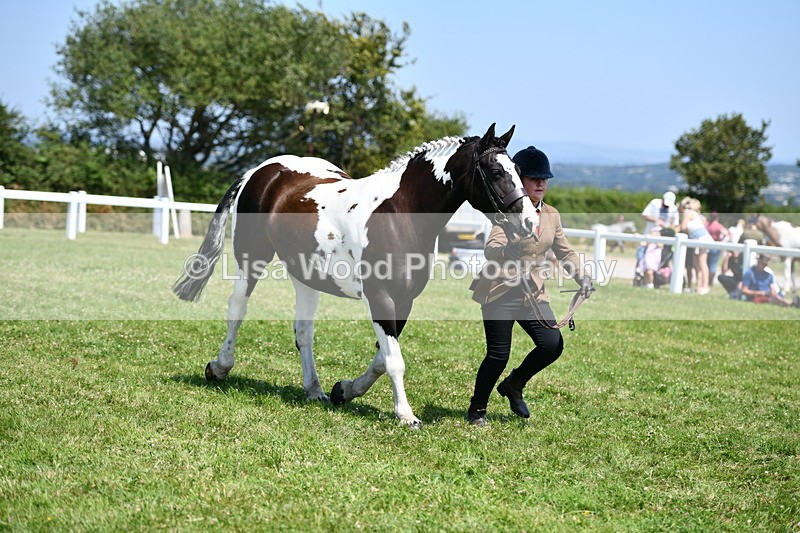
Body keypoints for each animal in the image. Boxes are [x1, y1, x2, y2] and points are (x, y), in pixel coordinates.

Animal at [172, 124, 538, 428]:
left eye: (519, 171)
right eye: (495, 171)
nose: (530, 223)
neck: (399, 213)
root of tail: (261, 171)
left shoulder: (404, 301)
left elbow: (381, 359)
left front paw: (344, 390)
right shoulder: (380, 298)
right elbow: (393, 361)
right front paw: (406, 415)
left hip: (305, 275)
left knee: (303, 331)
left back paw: (315, 389)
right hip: (251, 258)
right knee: (237, 309)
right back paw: (219, 367)